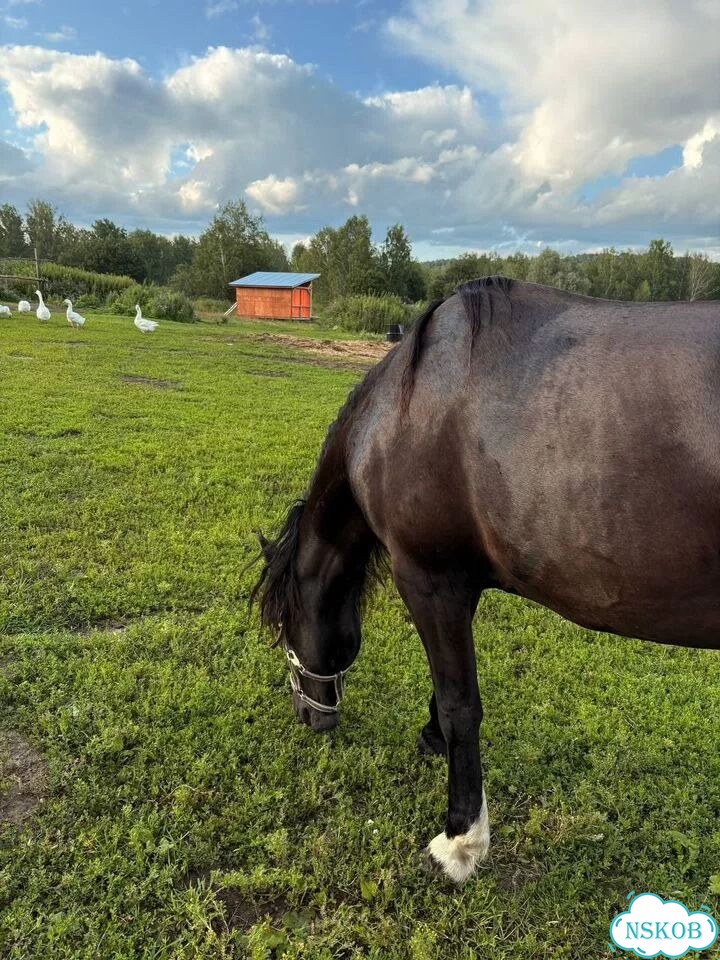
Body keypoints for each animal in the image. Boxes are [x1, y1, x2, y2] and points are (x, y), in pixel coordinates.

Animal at [252, 276, 720, 883]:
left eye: (285, 625)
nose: (310, 716)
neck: (402, 409)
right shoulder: (459, 584)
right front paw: (431, 739)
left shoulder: (427, 580)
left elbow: (461, 706)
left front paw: (461, 840)